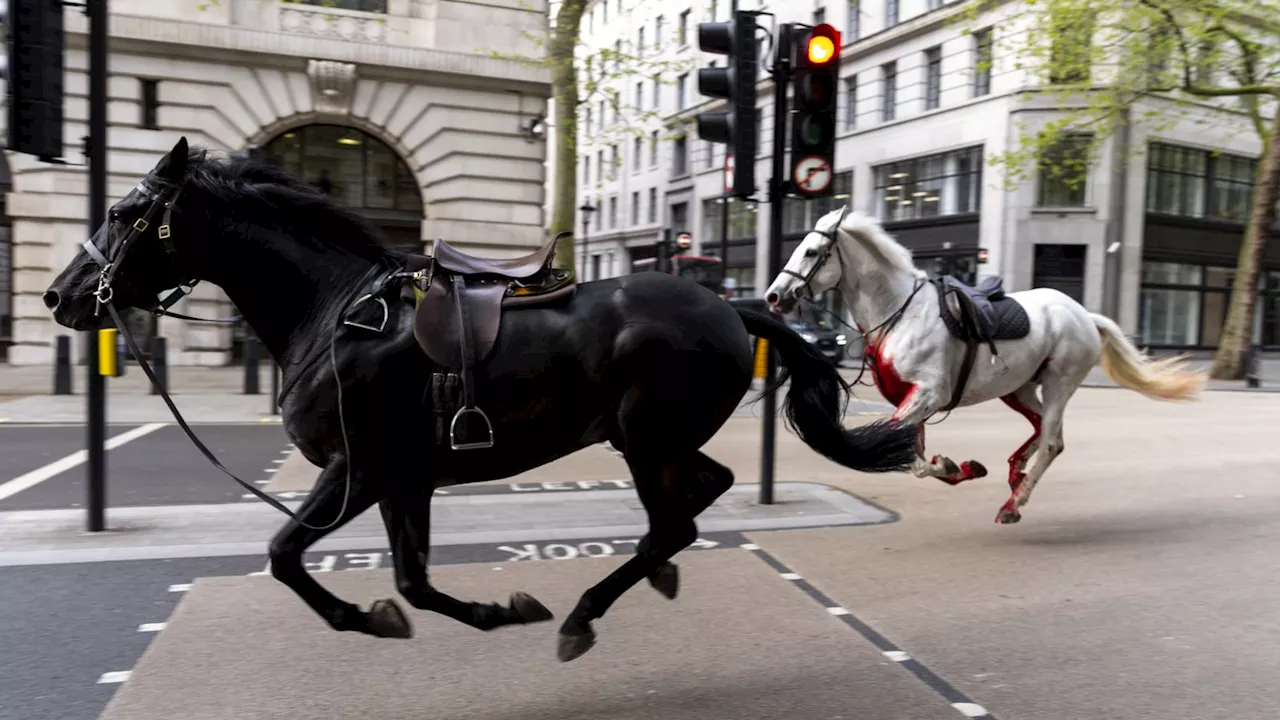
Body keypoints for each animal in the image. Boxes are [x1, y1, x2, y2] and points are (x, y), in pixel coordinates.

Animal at [42, 137, 921, 661]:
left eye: (124, 212)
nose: (60, 295)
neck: (334, 313)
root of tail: (732, 308)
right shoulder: (404, 478)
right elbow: (412, 582)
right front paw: (482, 611)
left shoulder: (358, 469)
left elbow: (287, 554)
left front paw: (367, 617)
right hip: (654, 438)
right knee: (701, 497)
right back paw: (650, 576)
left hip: (645, 438)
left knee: (675, 519)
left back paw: (585, 614)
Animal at [762, 206, 1203, 520]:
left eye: (812, 251)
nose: (773, 296)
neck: (901, 312)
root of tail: (1083, 314)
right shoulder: (914, 399)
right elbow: (912, 455)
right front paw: (958, 467)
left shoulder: (927, 393)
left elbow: (907, 456)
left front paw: (952, 465)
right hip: (1019, 388)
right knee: (1044, 431)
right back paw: (1015, 473)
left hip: (1059, 382)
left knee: (1052, 441)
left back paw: (1013, 503)